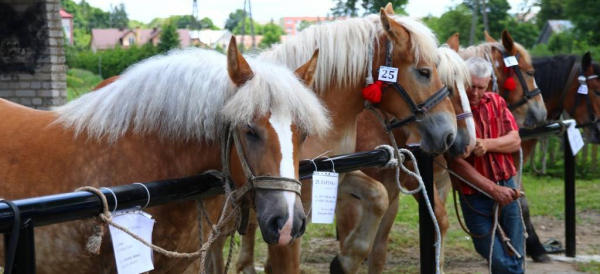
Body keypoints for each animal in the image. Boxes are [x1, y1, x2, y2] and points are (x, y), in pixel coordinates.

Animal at [231, 4, 460, 274]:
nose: (450, 133)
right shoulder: (289, 213)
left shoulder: (337, 173)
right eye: (424, 72)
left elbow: (379, 196)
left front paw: (345, 259)